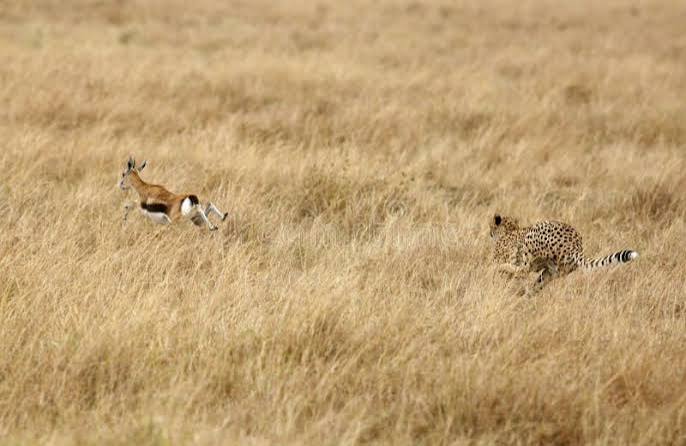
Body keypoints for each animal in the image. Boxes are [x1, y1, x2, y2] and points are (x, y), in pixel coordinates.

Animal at [489, 214, 639, 294]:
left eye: (491, 227)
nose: (490, 233)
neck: (509, 229)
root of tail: (575, 246)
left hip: (532, 237)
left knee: (523, 270)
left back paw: (505, 269)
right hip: (554, 270)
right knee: (538, 281)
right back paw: (526, 295)